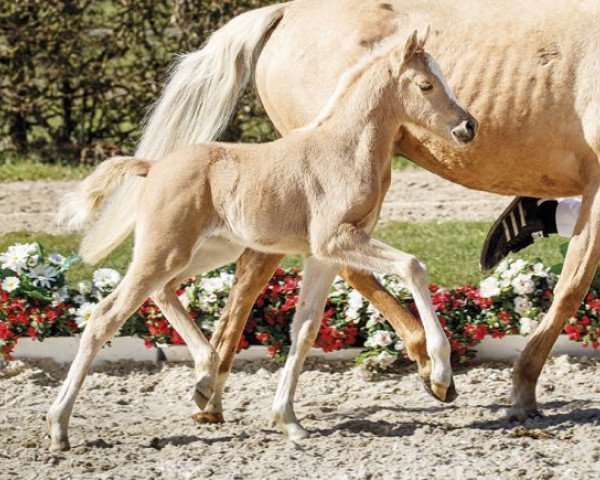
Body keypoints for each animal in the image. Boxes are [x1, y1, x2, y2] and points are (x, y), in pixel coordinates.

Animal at [49, 30, 476, 450]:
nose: (468, 126)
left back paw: (204, 381)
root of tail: (153, 168)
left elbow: (303, 330)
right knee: (105, 315)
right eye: (425, 85)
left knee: (163, 291)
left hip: (208, 250)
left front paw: (289, 421)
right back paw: (59, 427)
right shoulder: (336, 240)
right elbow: (412, 266)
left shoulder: (322, 256)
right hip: (165, 250)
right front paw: (441, 374)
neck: (343, 149)